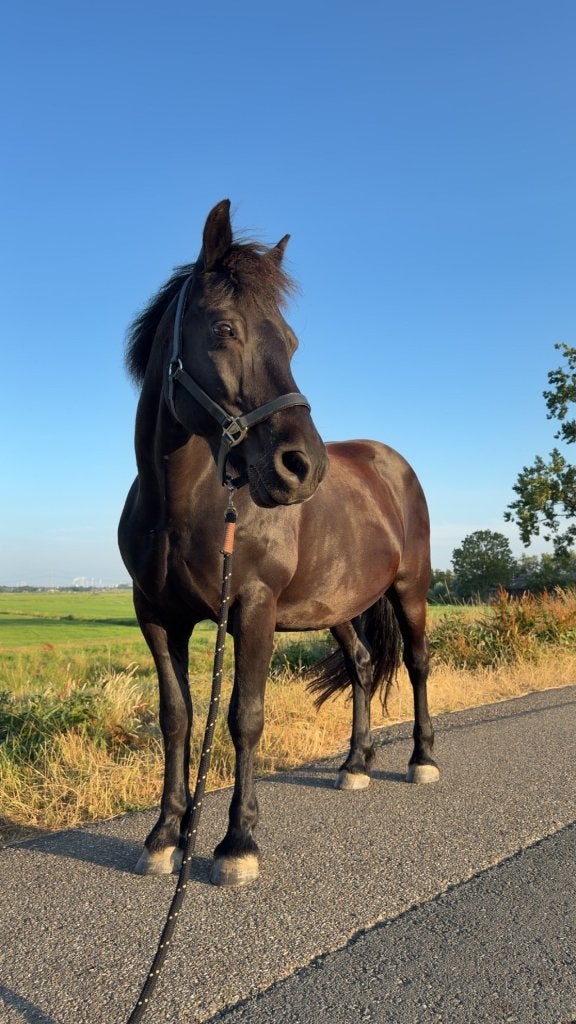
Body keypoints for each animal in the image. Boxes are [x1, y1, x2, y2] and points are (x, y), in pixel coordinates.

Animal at [118, 199, 439, 888]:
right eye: (225, 329)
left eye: (291, 342)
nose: (303, 467)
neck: (178, 507)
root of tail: (392, 463)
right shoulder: (156, 616)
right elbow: (176, 718)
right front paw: (165, 837)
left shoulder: (253, 609)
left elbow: (245, 716)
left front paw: (237, 844)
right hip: (339, 607)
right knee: (363, 665)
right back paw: (355, 764)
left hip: (411, 591)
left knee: (419, 664)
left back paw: (422, 760)